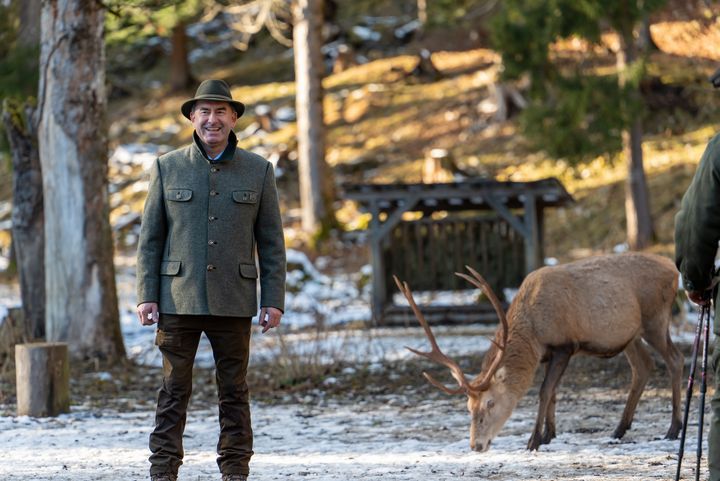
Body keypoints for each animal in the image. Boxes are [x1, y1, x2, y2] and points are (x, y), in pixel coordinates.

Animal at [396, 253, 684, 452]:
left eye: (490, 402)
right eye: (468, 407)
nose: (476, 445)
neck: (533, 332)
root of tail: (673, 271)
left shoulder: (564, 345)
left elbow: (545, 391)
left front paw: (533, 440)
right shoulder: (548, 354)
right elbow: (553, 393)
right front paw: (549, 435)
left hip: (655, 319)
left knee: (675, 360)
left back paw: (673, 428)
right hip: (630, 335)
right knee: (644, 366)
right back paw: (619, 429)